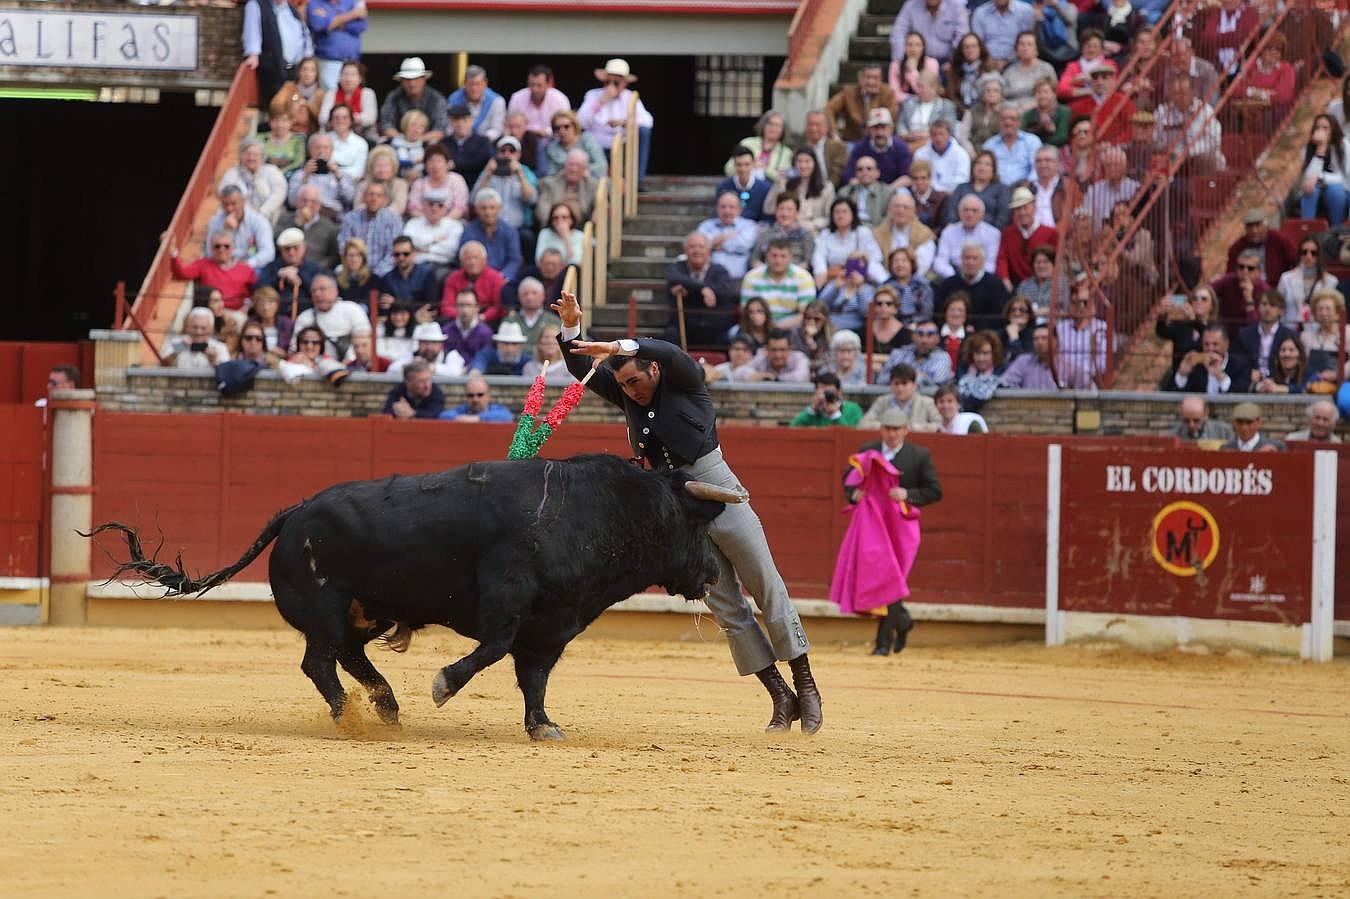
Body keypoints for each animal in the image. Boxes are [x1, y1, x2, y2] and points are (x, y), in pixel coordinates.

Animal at [85, 450, 750, 739]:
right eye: (698, 526)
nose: (712, 575)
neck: (600, 511)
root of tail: (296, 512)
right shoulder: (508, 600)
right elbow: (492, 650)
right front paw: (442, 685)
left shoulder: (552, 624)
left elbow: (533, 677)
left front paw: (543, 727)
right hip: (327, 610)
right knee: (320, 662)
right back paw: (352, 715)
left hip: (365, 614)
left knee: (348, 657)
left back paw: (386, 707)